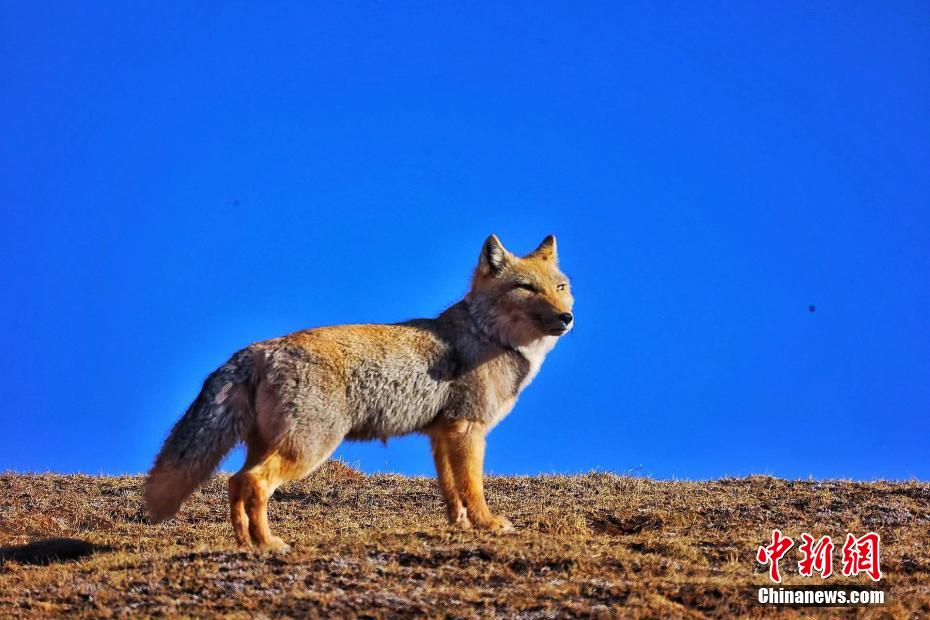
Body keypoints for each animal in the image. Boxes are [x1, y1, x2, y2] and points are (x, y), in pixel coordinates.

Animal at [145, 234, 574, 550]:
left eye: (560, 287)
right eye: (525, 288)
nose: (567, 317)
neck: (489, 336)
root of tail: (262, 348)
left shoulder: (441, 434)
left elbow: (451, 490)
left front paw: (460, 527)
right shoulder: (468, 429)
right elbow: (473, 487)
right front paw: (487, 523)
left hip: (270, 445)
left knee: (235, 482)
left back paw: (246, 544)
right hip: (307, 450)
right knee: (253, 482)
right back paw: (269, 544)